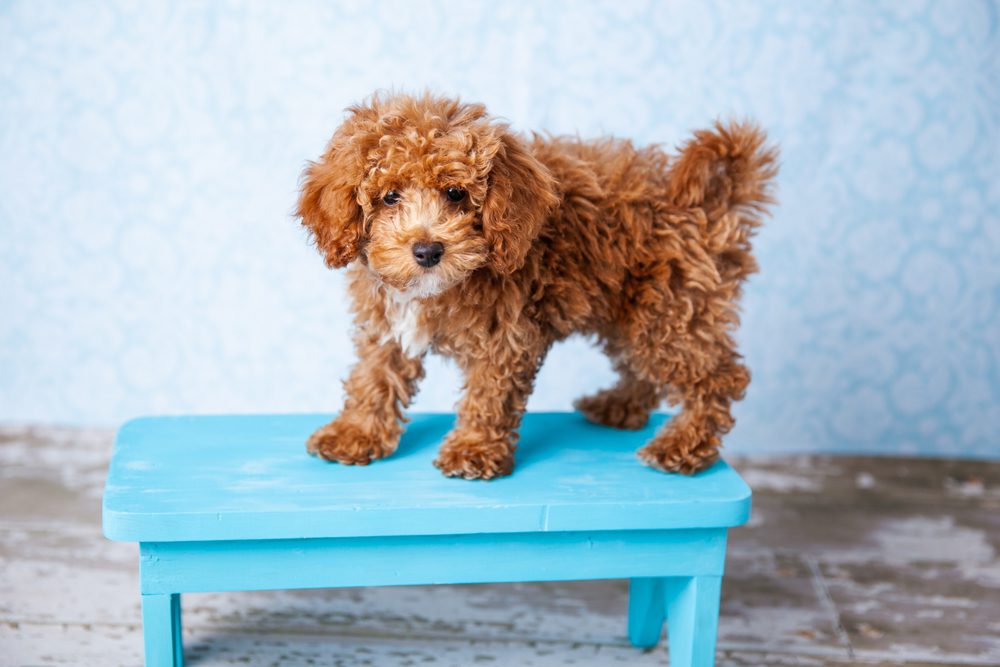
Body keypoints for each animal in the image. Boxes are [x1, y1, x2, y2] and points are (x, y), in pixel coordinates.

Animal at [300, 92, 776, 480]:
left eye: (455, 193)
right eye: (389, 197)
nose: (428, 250)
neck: (436, 288)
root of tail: (705, 205)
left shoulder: (506, 334)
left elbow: (489, 393)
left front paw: (473, 449)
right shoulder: (388, 322)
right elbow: (374, 377)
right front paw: (355, 433)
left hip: (668, 308)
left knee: (717, 376)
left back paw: (682, 444)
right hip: (634, 309)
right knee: (642, 368)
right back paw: (619, 406)